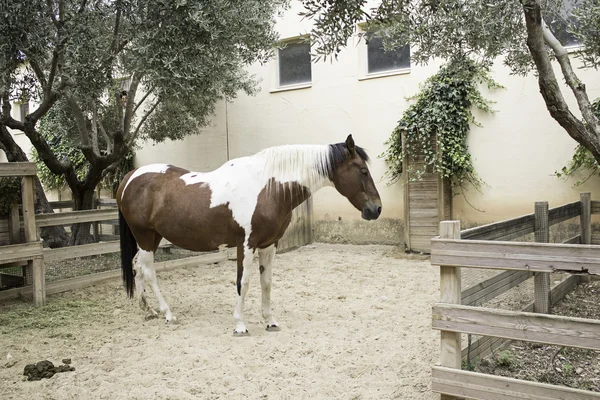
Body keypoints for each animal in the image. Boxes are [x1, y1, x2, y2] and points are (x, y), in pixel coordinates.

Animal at [116, 134, 380, 334]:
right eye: (363, 171)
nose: (376, 209)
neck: (269, 188)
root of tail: (129, 177)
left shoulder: (269, 245)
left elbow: (267, 282)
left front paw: (269, 320)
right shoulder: (246, 245)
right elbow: (243, 282)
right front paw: (239, 325)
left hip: (152, 237)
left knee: (137, 266)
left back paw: (148, 310)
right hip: (145, 236)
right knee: (149, 271)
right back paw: (168, 313)